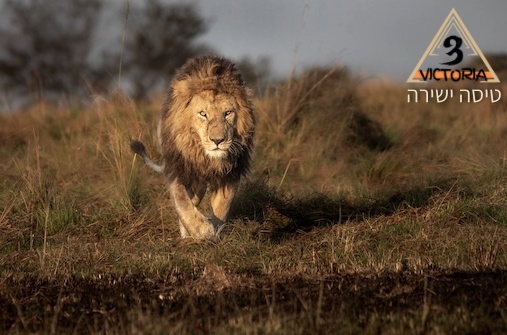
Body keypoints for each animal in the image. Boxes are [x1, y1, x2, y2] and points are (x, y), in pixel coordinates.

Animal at [130, 57, 254, 239]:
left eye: (228, 113)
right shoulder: (176, 168)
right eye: (203, 114)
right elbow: (182, 202)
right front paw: (201, 229)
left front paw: (214, 230)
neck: (206, 157)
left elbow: (222, 205)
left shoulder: (232, 171)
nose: (218, 140)